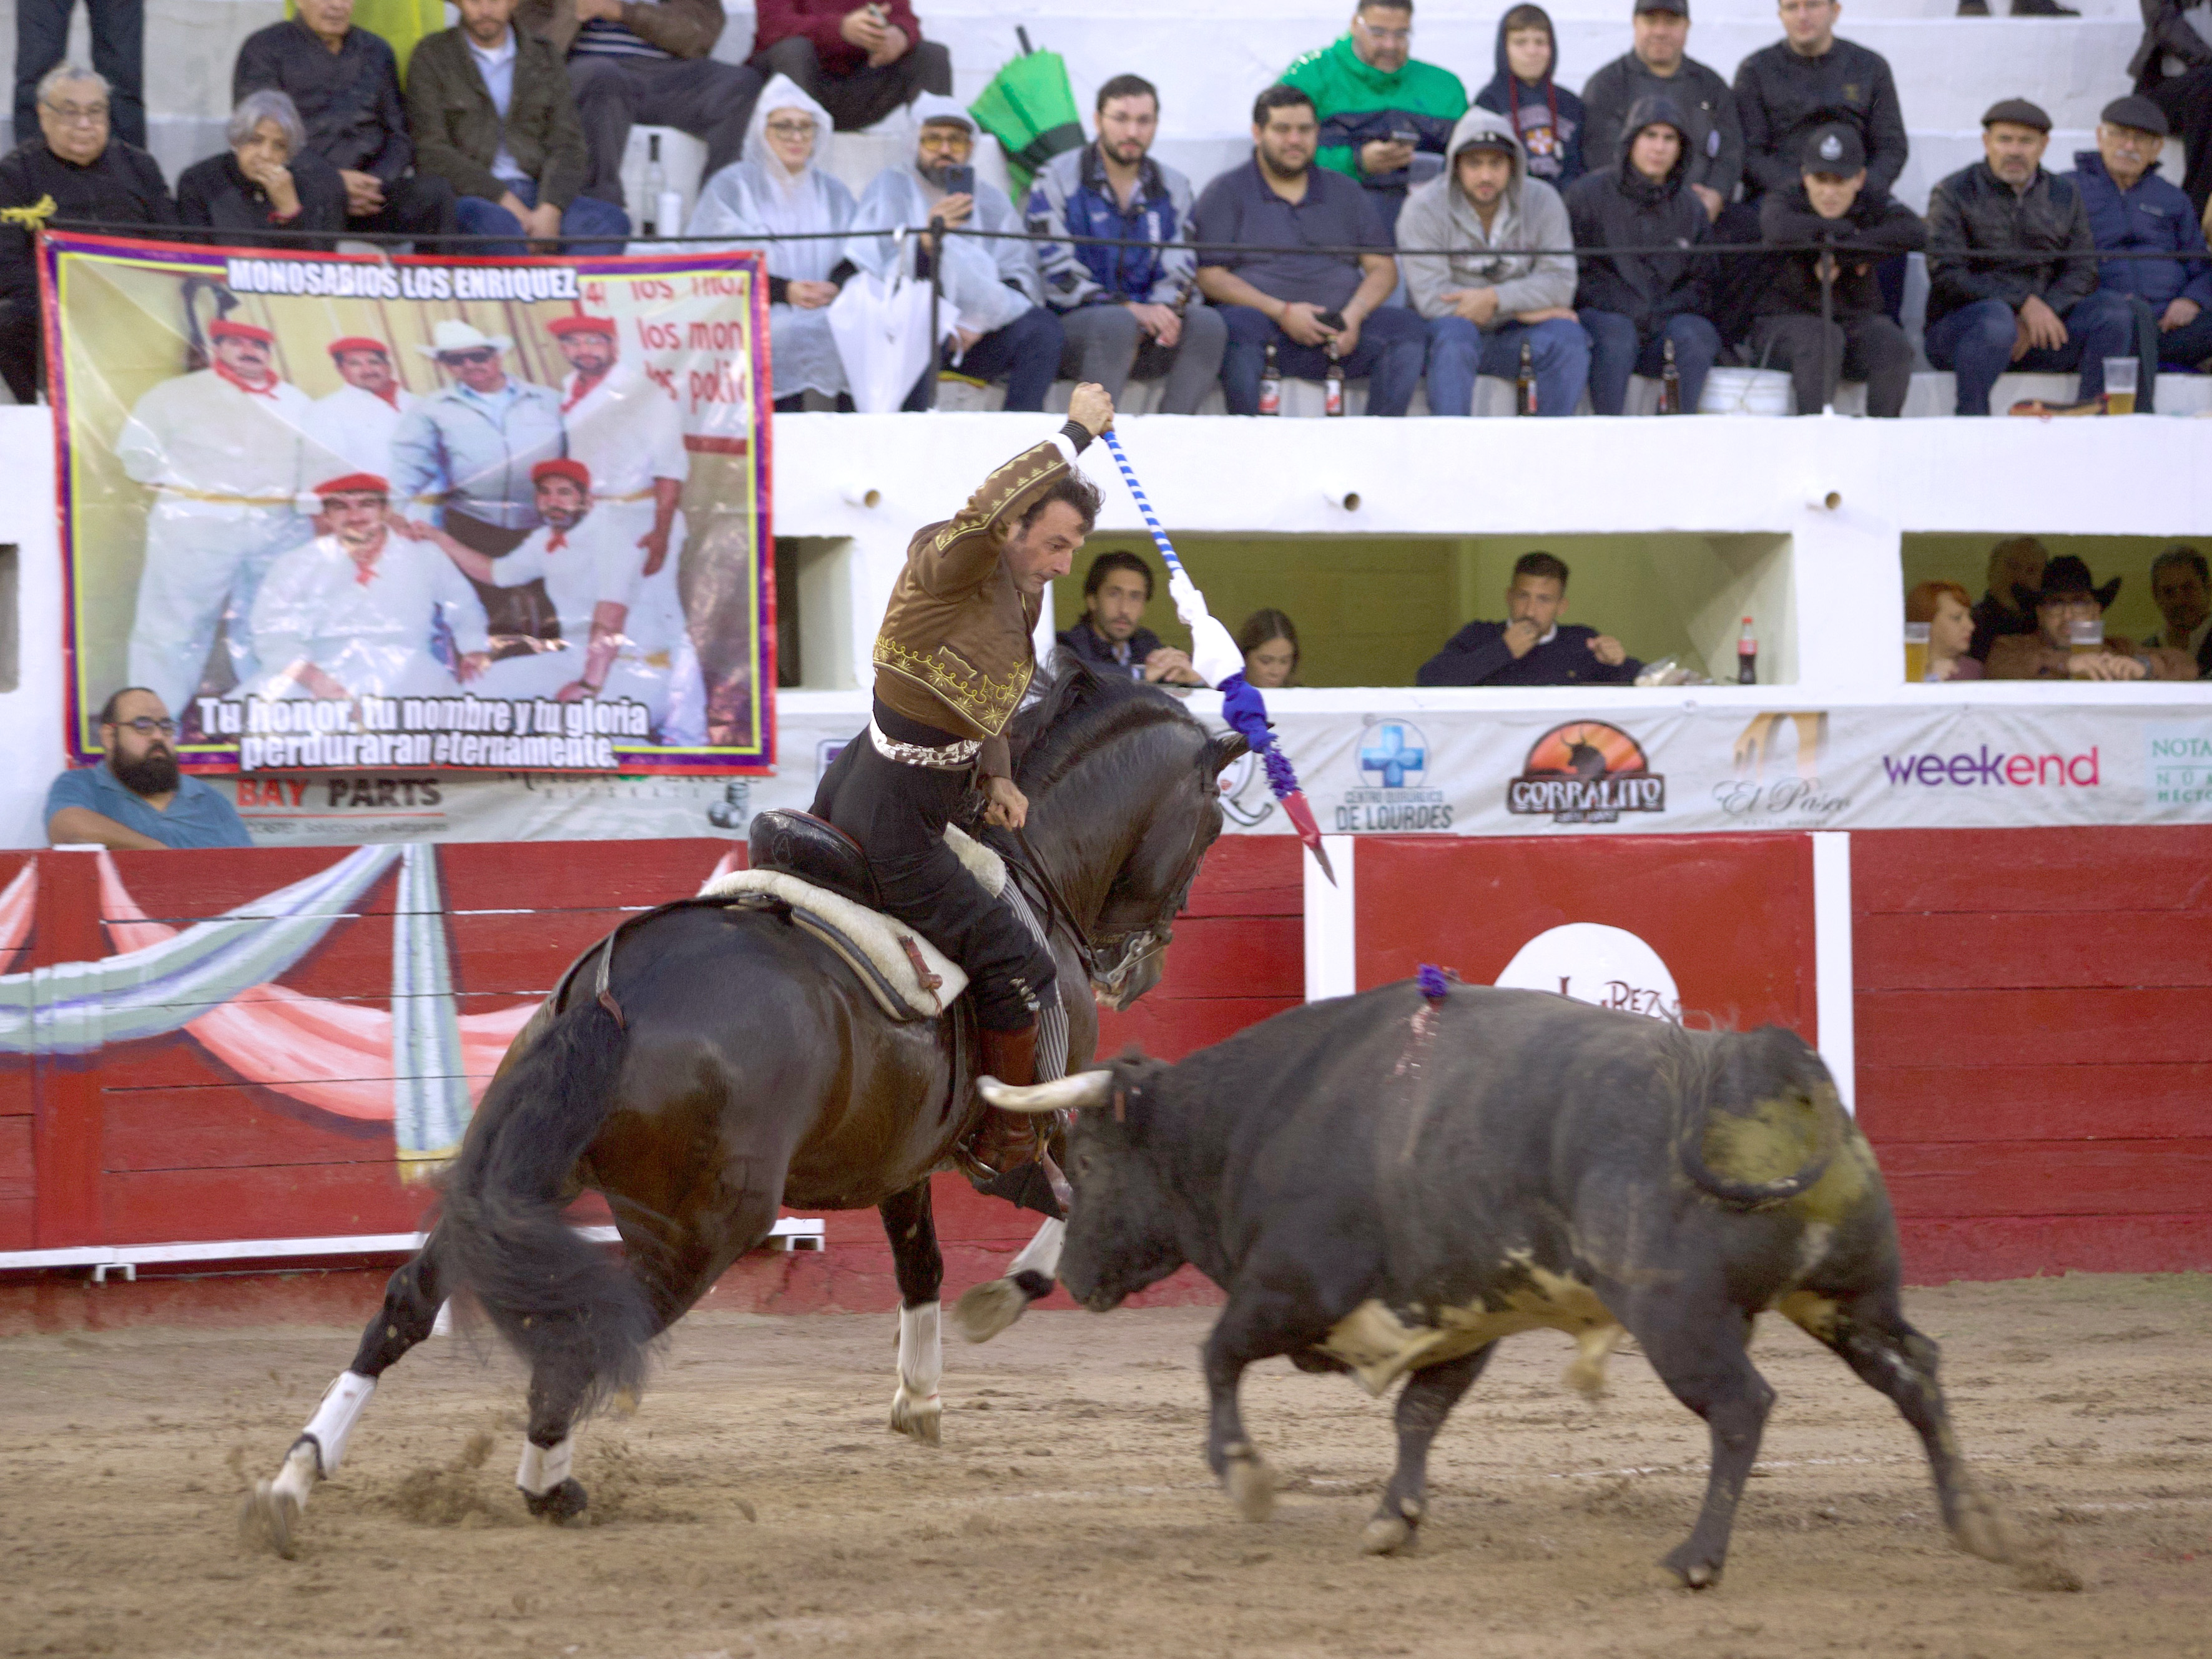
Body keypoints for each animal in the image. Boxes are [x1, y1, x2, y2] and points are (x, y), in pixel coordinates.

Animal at [247, 667, 1247, 1557]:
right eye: (1209, 825)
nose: (1139, 966)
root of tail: (620, 989)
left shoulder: (901, 1161)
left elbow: (921, 1262)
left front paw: (919, 1396)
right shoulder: (1027, 1123)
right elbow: (1082, 1195)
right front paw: (1004, 1299)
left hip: (515, 1179)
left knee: (411, 1300)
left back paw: (298, 1475)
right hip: (704, 1228)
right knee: (589, 1333)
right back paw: (547, 1485)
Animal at [986, 982, 2026, 1592]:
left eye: (1088, 1155)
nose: (1068, 1276)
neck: (1256, 1117)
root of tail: (1766, 1060)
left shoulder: (1291, 1285)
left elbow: (1216, 1356)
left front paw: (1243, 1475)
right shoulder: (1462, 1317)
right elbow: (1418, 1414)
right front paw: (1391, 1520)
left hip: (1678, 1319)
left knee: (1741, 1406)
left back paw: (1693, 1560)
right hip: (1846, 1299)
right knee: (1915, 1373)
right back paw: (1974, 1524)